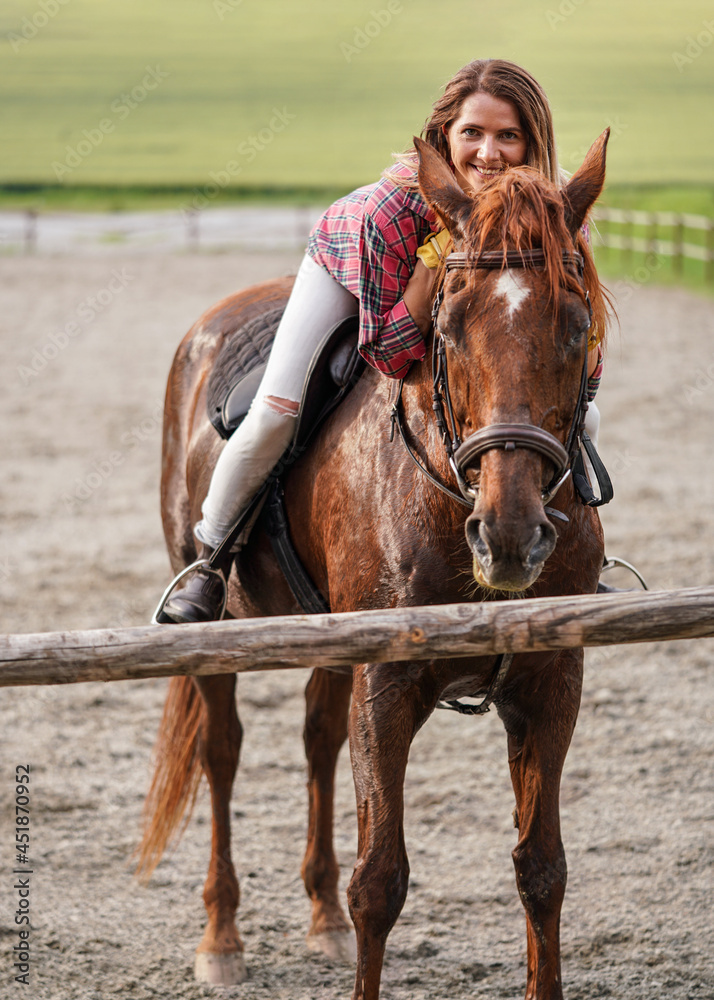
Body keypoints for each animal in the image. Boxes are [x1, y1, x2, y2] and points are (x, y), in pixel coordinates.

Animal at [138, 128, 611, 1000]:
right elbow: (380, 880)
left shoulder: (550, 685)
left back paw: (319, 917)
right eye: (449, 326)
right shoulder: (386, 687)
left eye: (575, 324)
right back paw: (221, 937)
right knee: (223, 753)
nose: (510, 534)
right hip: (219, 635)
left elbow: (542, 869)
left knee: (319, 739)